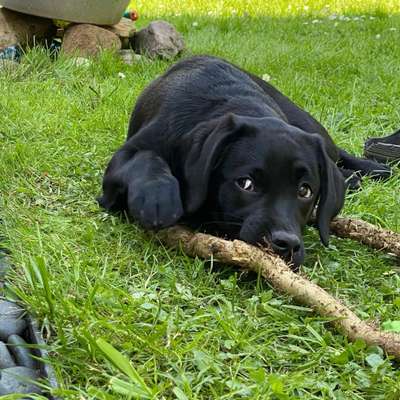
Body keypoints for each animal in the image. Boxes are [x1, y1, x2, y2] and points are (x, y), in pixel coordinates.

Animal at [99, 54, 390, 268]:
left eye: (305, 190)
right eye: (246, 184)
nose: (286, 244)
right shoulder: (130, 153)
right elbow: (145, 158)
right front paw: (158, 199)